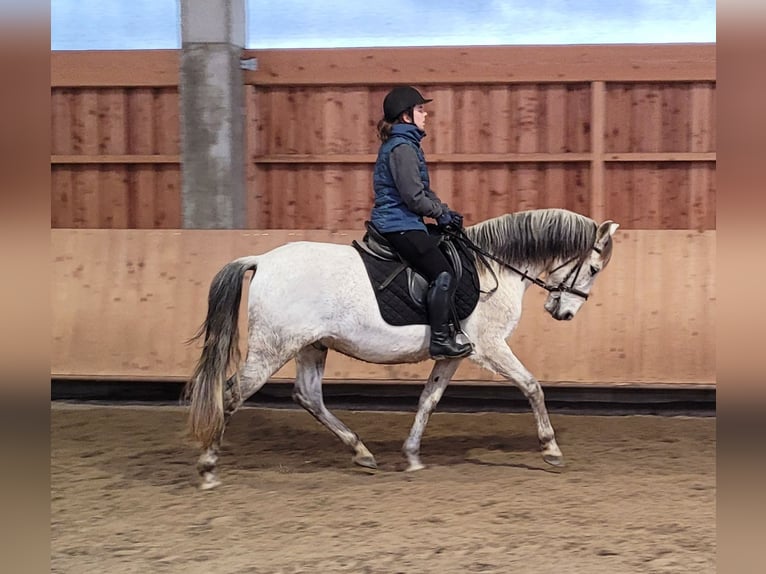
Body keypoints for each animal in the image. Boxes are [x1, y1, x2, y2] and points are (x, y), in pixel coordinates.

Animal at [184, 208, 619, 490]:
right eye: (593, 269)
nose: (563, 312)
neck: (492, 266)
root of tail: (261, 260)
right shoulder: (491, 346)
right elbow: (531, 386)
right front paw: (551, 450)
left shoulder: (453, 354)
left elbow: (429, 399)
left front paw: (411, 456)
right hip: (273, 348)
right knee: (231, 394)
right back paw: (207, 468)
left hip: (312, 345)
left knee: (308, 396)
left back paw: (361, 452)